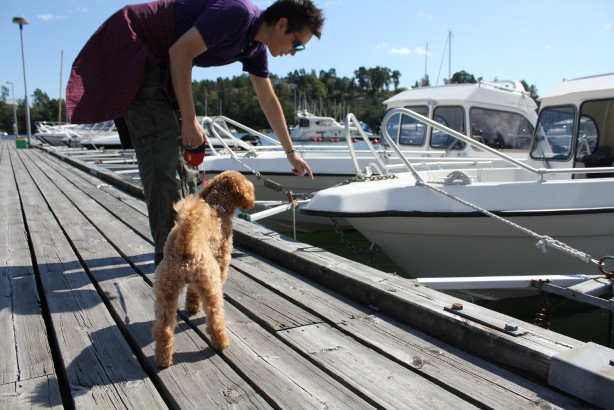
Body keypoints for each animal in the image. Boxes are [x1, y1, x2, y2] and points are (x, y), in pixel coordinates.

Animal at [153, 168, 256, 366]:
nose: (252, 200)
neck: (218, 208)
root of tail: (186, 243)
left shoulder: (195, 281)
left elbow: (192, 292)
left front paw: (192, 306)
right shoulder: (222, 260)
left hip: (167, 287)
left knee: (163, 328)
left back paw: (163, 359)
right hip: (209, 280)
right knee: (215, 316)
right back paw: (222, 342)